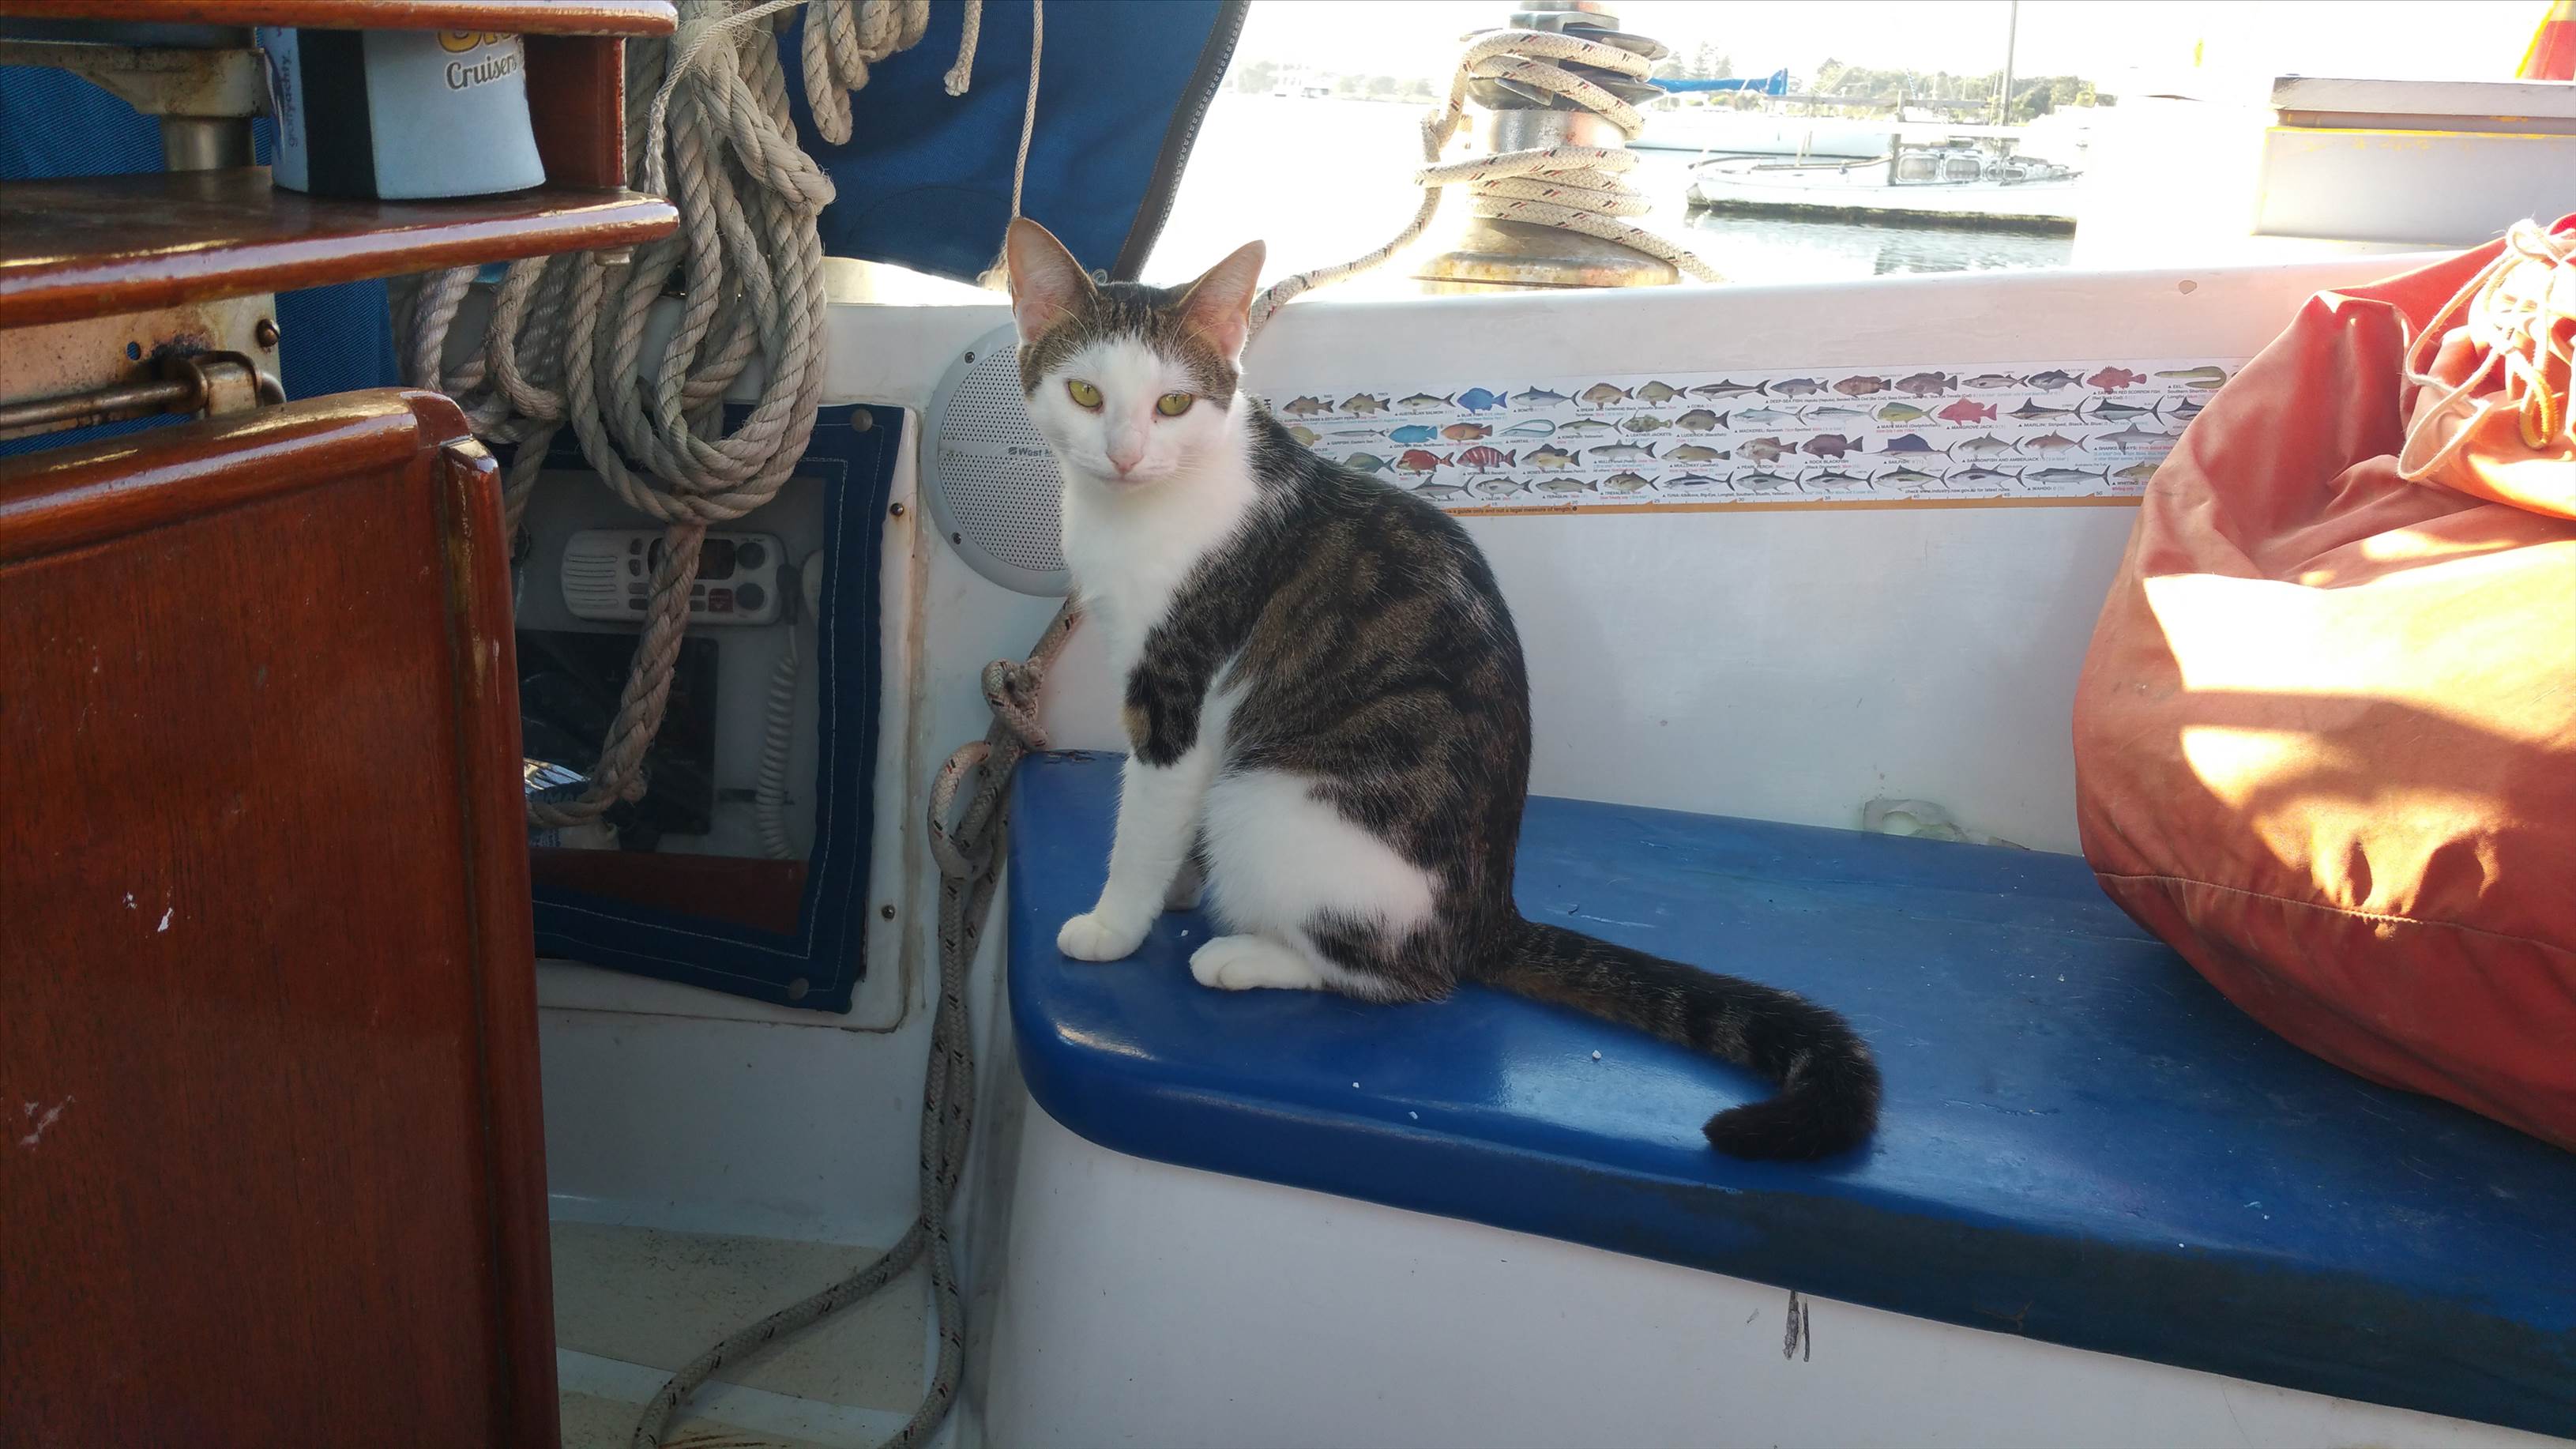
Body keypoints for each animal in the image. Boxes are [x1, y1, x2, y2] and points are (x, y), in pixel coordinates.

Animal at [1003, 219, 1880, 1160]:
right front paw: (1170, 884)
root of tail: (1488, 912)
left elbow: (1144, 820)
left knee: (1403, 977)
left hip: (1269, 803)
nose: (1125, 455)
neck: (1142, 510)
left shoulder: (1177, 691)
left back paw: (1247, 956)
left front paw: (1116, 921)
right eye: (1085, 393)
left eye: (1172, 404)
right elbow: (1164, 826)